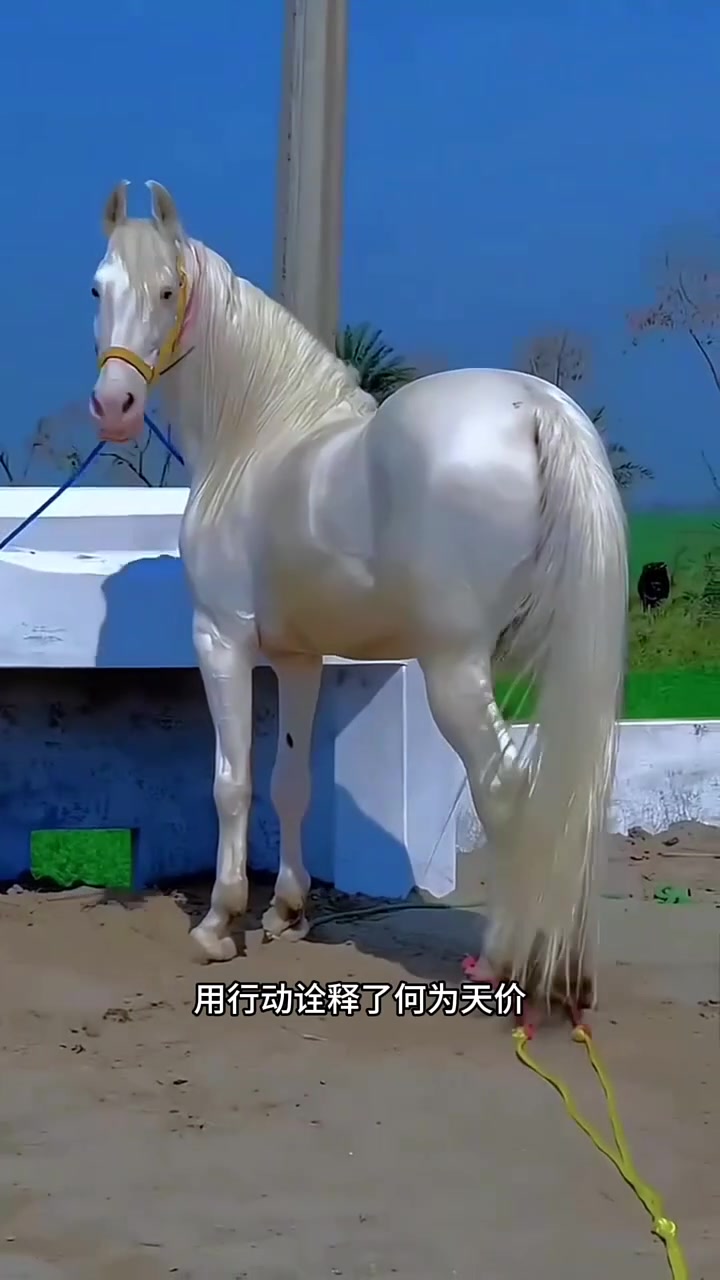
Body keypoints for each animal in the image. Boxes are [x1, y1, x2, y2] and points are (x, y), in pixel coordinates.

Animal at [88, 180, 628, 1008]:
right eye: (99, 288)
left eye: (168, 290)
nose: (112, 405)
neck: (259, 439)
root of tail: (536, 405)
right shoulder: (298, 659)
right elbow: (291, 783)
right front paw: (286, 911)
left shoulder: (221, 640)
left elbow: (233, 783)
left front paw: (218, 925)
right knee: (568, 786)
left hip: (454, 668)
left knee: (507, 784)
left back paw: (503, 960)